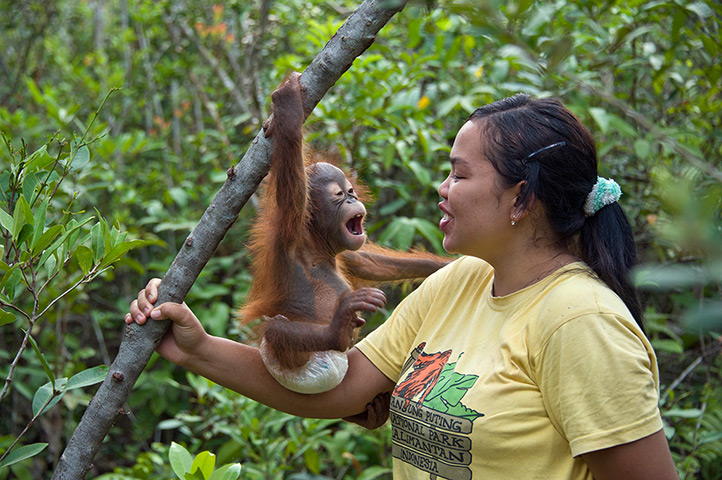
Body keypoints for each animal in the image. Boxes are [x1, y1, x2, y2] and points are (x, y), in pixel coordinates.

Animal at [241, 72, 449, 394]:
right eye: (339, 196)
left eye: (351, 192)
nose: (352, 200)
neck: (316, 245)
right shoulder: (290, 227)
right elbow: (291, 185)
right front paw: (288, 106)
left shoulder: (345, 254)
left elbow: (367, 262)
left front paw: (446, 264)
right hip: (291, 365)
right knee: (276, 329)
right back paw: (337, 332)